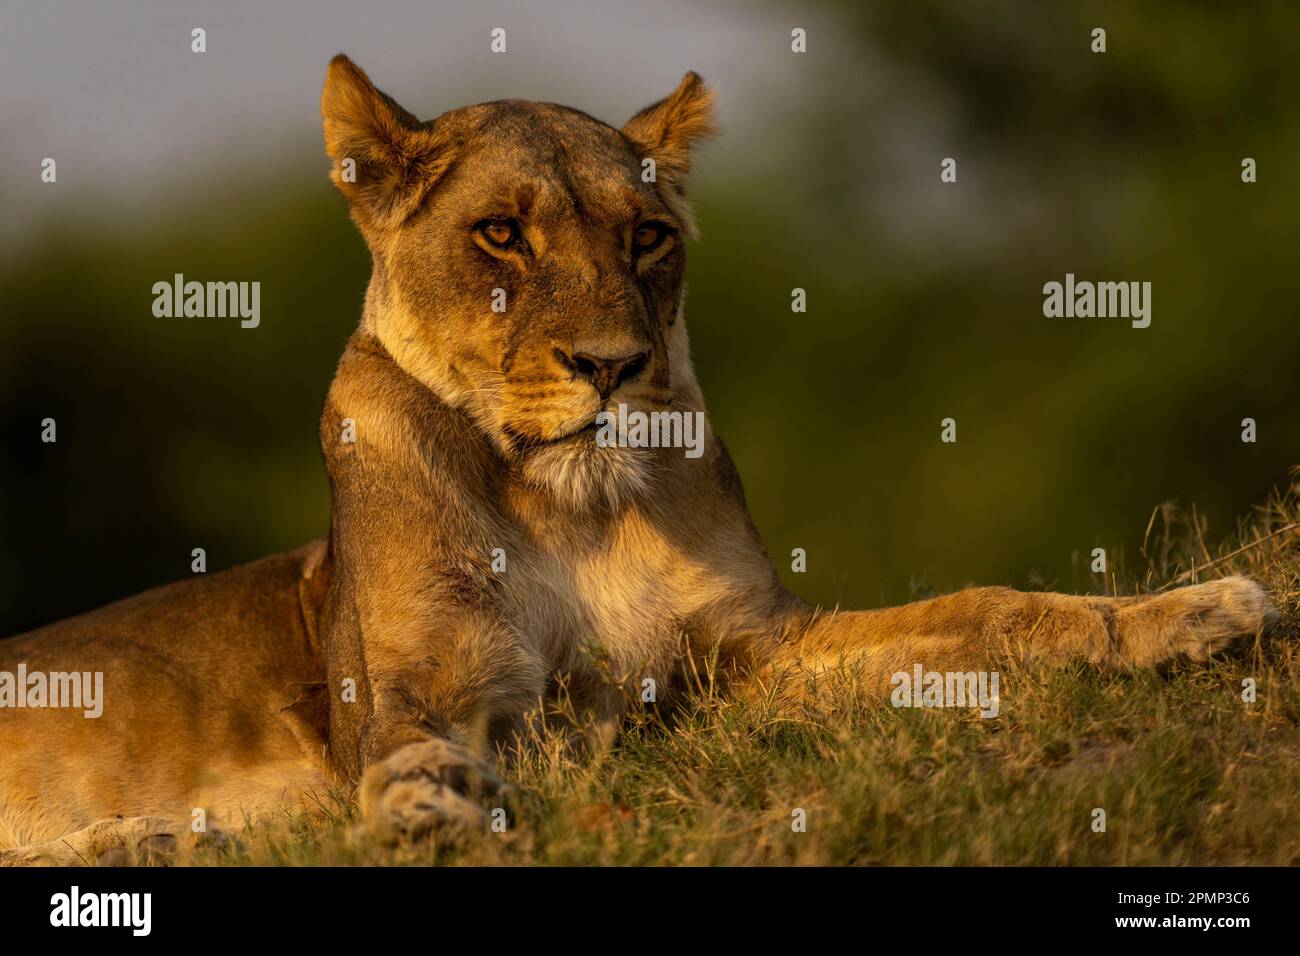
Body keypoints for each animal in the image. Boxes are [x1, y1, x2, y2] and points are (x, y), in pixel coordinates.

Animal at [0, 55, 1278, 865]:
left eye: (648, 235)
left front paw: (1188, 610)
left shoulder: (753, 645)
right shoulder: (434, 687)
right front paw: (420, 806)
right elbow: (409, 744)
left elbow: (978, 613)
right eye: (500, 234)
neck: (570, 506)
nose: (615, 365)